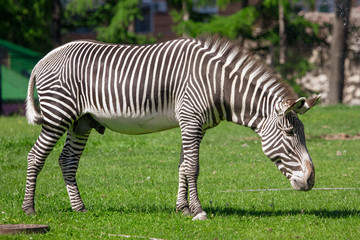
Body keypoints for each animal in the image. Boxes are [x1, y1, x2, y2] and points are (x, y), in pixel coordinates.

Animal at [23, 34, 320, 220]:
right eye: (289, 133)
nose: (311, 180)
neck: (217, 84)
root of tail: (44, 58)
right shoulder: (191, 120)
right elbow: (193, 167)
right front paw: (198, 211)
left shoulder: (193, 125)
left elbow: (182, 166)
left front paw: (182, 209)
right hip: (58, 114)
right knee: (35, 156)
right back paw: (29, 209)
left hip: (80, 122)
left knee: (67, 161)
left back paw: (79, 209)